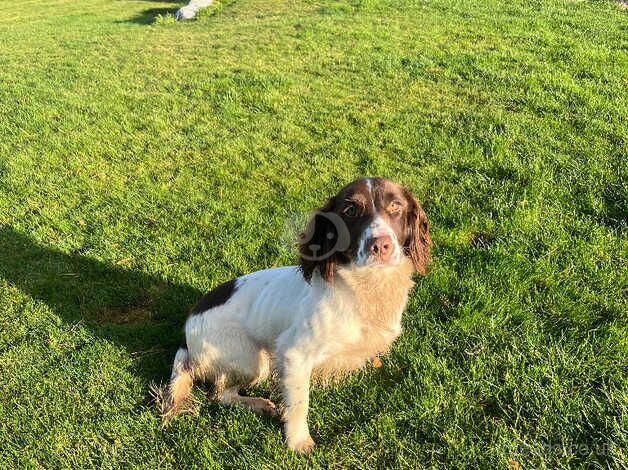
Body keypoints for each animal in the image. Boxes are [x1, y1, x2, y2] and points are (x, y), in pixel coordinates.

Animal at [161, 176, 432, 452]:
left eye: (396, 206)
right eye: (350, 210)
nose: (381, 246)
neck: (365, 286)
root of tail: (187, 331)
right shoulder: (294, 353)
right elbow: (300, 401)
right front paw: (298, 441)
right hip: (255, 360)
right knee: (219, 394)